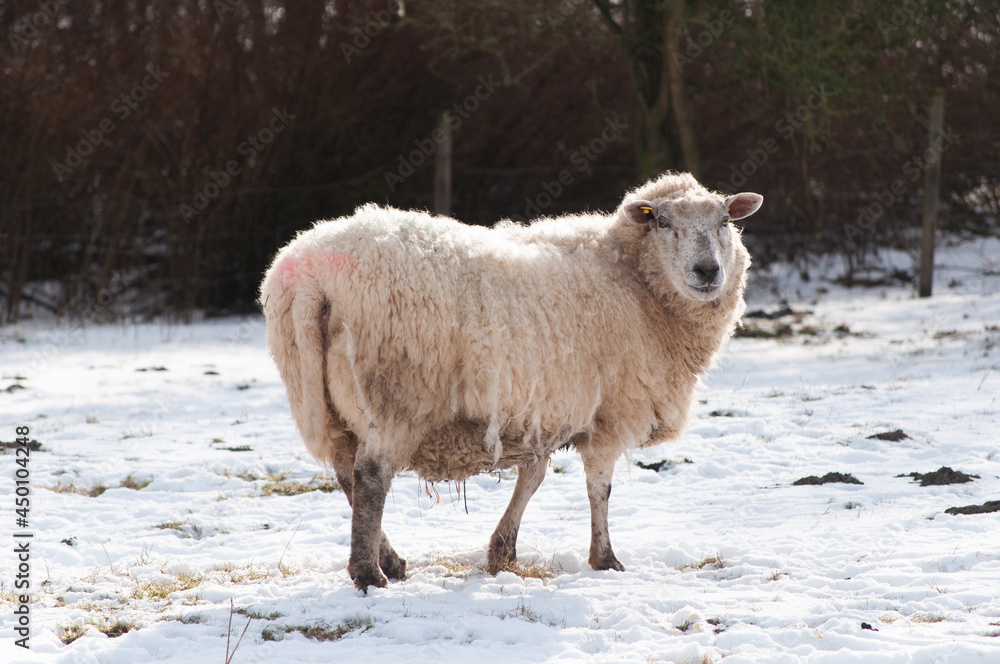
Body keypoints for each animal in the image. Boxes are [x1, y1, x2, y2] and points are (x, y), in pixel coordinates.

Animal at [259, 171, 762, 592]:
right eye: (661, 221)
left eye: (724, 220)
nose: (708, 271)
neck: (635, 283)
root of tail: (310, 279)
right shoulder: (611, 413)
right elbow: (599, 488)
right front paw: (605, 559)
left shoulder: (541, 408)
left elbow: (532, 476)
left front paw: (502, 552)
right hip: (396, 395)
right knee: (369, 479)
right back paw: (370, 574)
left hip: (321, 399)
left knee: (346, 474)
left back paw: (391, 561)